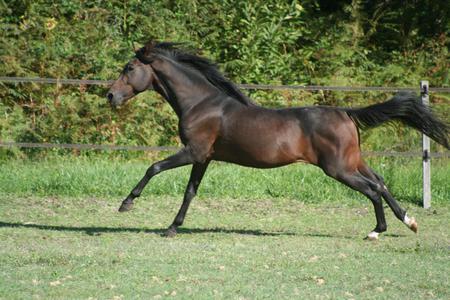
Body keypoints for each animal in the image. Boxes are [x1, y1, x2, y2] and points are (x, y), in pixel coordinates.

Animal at [107, 41, 448, 239]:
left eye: (130, 68)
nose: (110, 96)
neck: (201, 104)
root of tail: (346, 113)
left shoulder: (193, 151)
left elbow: (154, 167)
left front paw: (126, 204)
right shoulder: (204, 157)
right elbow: (190, 192)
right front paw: (172, 228)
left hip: (338, 168)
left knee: (373, 188)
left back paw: (377, 231)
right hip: (353, 161)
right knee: (380, 181)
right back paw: (408, 221)